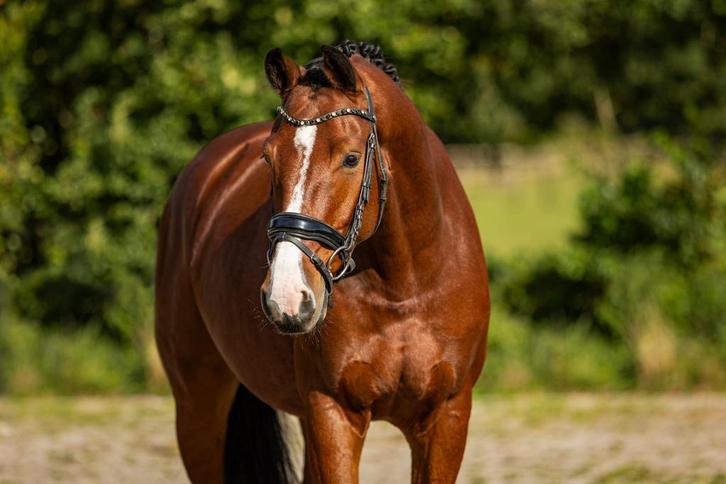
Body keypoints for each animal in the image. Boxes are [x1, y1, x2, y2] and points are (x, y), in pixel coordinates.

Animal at [155, 40, 490, 483]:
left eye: (350, 159)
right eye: (268, 159)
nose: (286, 297)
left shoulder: (446, 417)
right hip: (198, 407)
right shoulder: (332, 413)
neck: (404, 287)